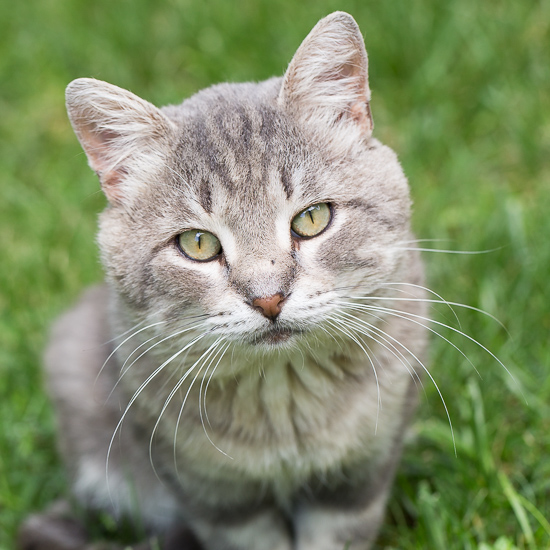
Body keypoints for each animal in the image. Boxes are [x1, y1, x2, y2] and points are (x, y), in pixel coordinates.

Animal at [19, 9, 430, 550]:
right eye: (198, 243)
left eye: (312, 218)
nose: (269, 298)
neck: (283, 398)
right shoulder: (218, 500)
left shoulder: (357, 476)